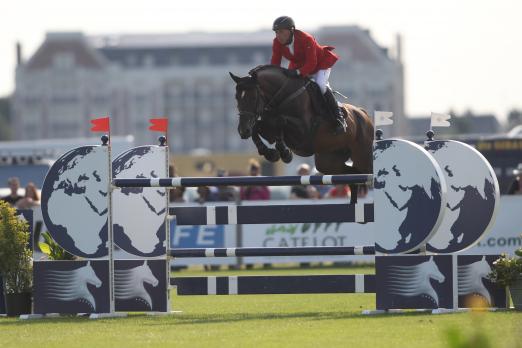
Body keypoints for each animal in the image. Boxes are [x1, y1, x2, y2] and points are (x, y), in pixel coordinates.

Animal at [230, 64, 372, 201]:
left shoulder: (303, 133)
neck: (282, 97)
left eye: (253, 97)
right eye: (236, 97)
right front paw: (270, 153)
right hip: (328, 162)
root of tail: (363, 114)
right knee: (353, 173)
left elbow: (280, 121)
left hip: (362, 156)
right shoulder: (267, 127)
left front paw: (285, 152)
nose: (243, 130)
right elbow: (257, 128)